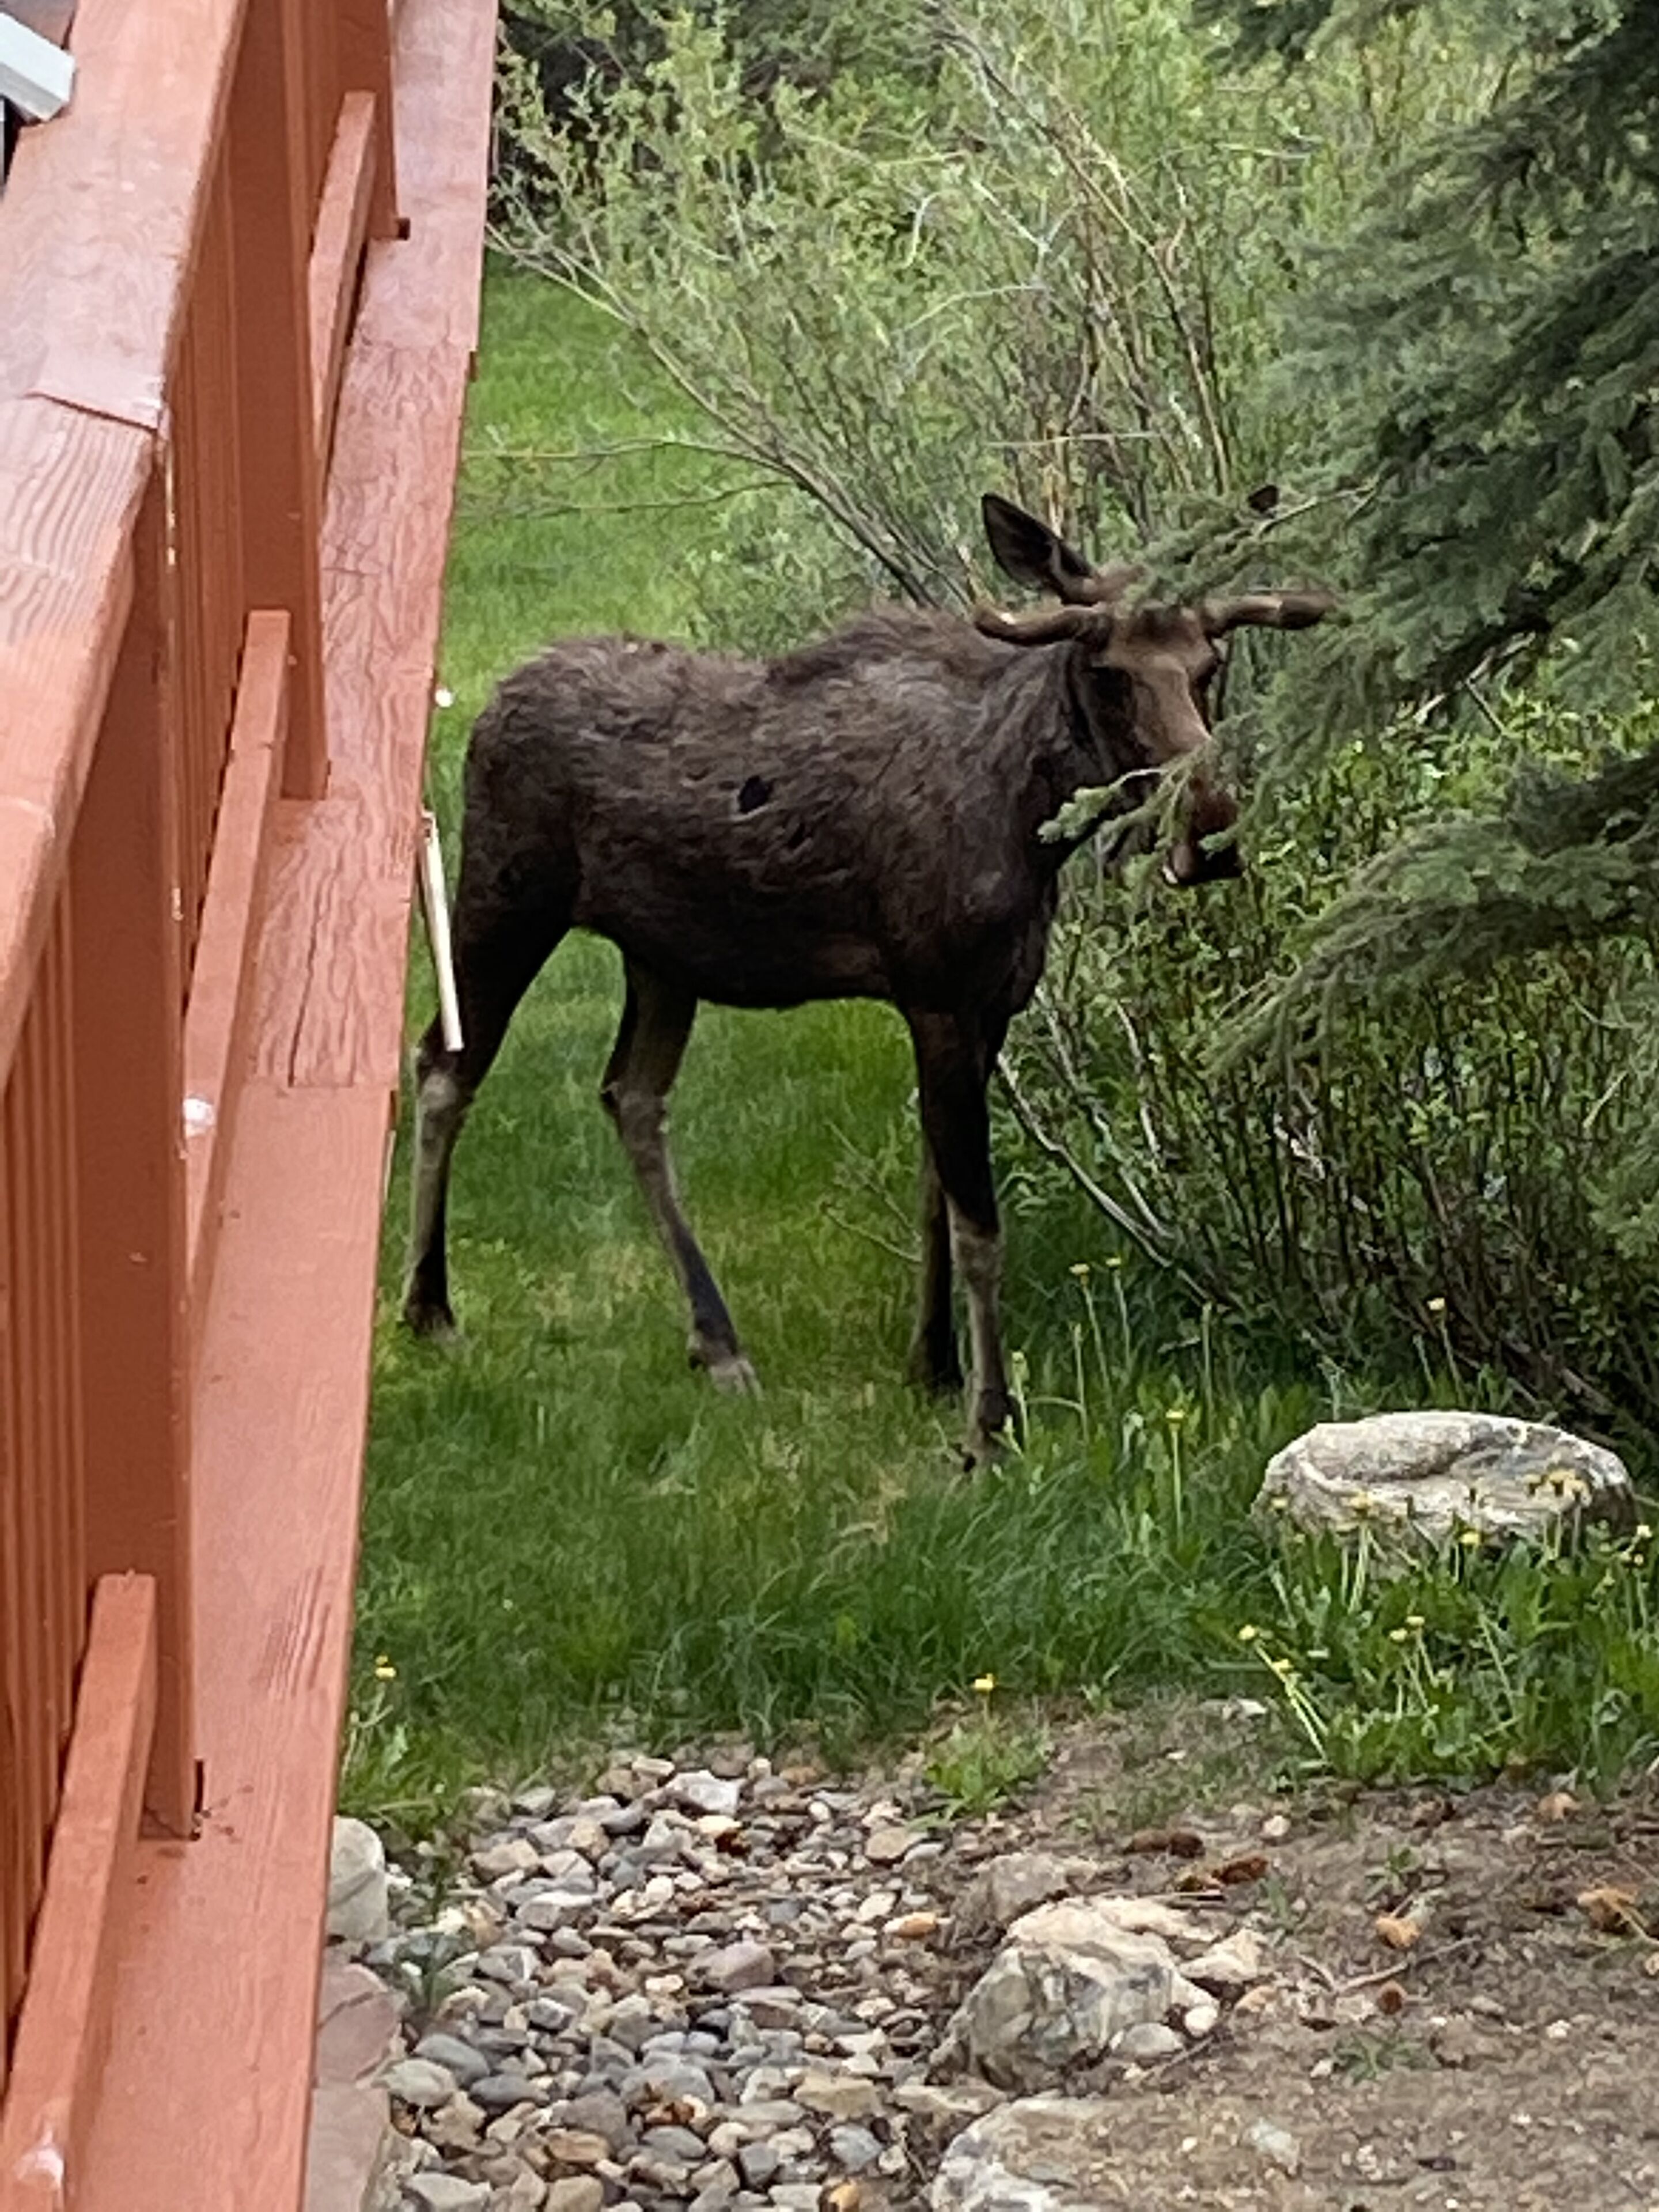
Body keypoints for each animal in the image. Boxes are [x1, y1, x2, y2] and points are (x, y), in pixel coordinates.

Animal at [404, 493, 1334, 1461]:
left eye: (1209, 665)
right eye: (1110, 674)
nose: (1212, 832)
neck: (1029, 816)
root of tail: (490, 705)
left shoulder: (989, 1007)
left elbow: (934, 1197)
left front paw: (935, 1365)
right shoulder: (937, 996)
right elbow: (979, 1223)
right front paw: (989, 1423)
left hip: (661, 956)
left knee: (633, 1095)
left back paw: (717, 1339)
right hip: (506, 900)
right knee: (445, 1063)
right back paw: (428, 1306)